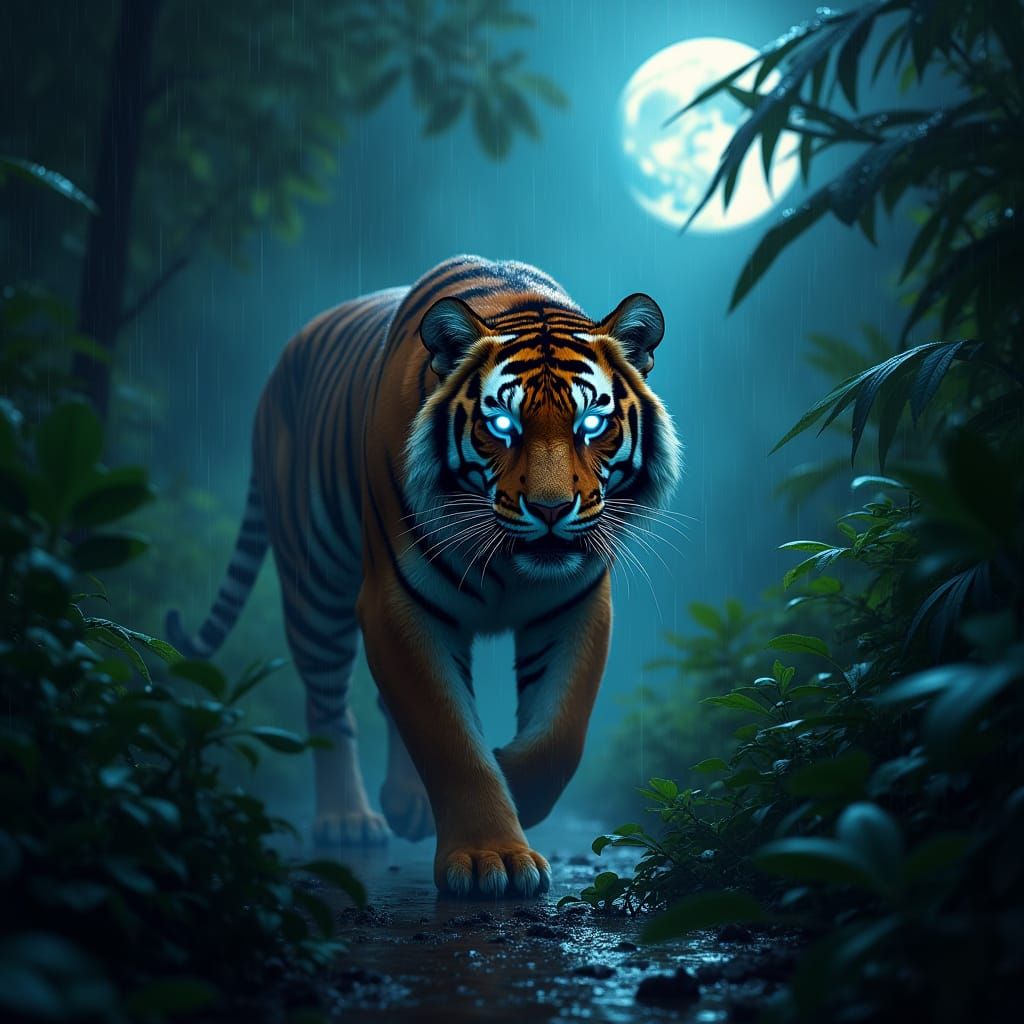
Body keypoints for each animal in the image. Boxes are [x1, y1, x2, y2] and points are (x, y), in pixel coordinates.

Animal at [167, 255, 681, 897]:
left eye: (591, 423)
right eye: (502, 425)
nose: (551, 509)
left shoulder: (574, 604)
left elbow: (559, 733)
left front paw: (512, 778)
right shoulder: (397, 603)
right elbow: (447, 736)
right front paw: (492, 856)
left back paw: (406, 804)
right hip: (316, 586)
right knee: (328, 704)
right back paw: (347, 821)